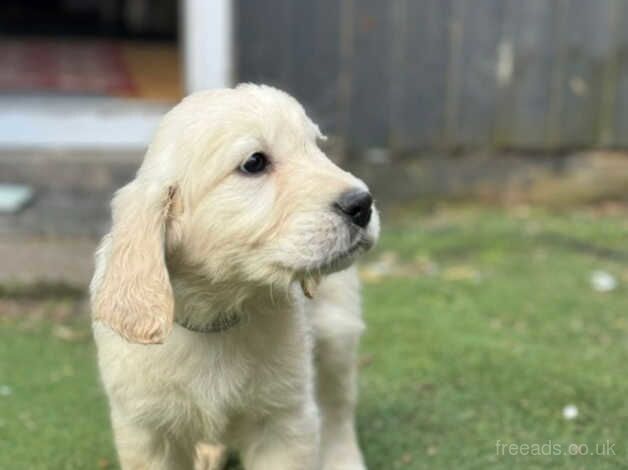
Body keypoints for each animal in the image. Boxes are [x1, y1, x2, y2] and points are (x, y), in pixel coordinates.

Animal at [91, 85, 380, 470]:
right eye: (254, 163)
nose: (363, 204)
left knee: (338, 407)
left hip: (337, 329)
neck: (215, 314)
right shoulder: (146, 430)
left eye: (316, 147)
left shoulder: (285, 421)